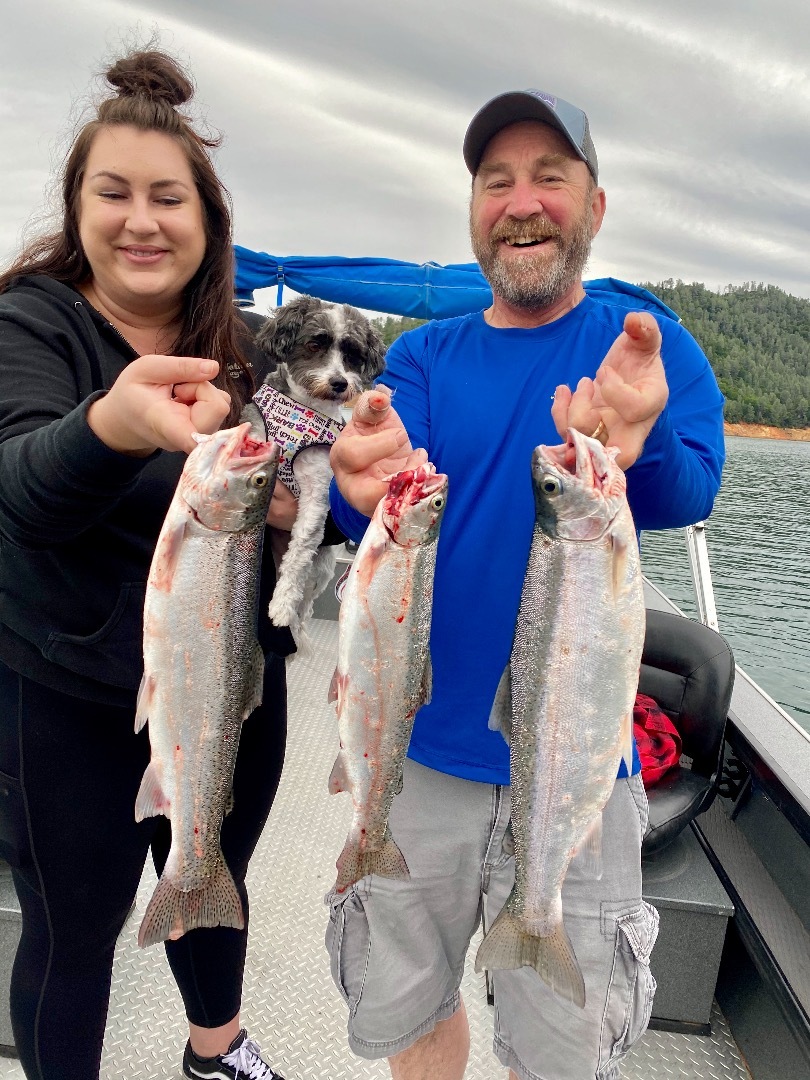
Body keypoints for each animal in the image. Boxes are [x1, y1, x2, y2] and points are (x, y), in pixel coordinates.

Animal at [247, 291, 386, 652]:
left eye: (352, 355)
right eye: (314, 344)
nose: (339, 383)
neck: (304, 410)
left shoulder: (316, 491)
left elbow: (300, 551)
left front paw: (281, 605)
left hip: (322, 569)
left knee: (307, 599)